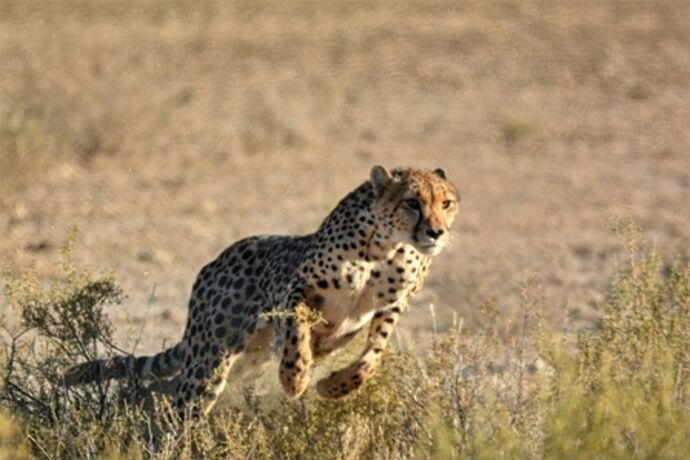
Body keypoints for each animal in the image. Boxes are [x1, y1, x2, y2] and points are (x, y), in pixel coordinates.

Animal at [64, 165, 460, 420]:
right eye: (412, 202)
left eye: (447, 203)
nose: (437, 232)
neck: (387, 248)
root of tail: (213, 262)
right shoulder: (296, 285)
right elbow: (297, 329)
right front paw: (294, 377)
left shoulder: (391, 306)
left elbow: (372, 358)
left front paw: (334, 387)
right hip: (212, 355)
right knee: (182, 404)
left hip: (244, 362)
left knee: (164, 388)